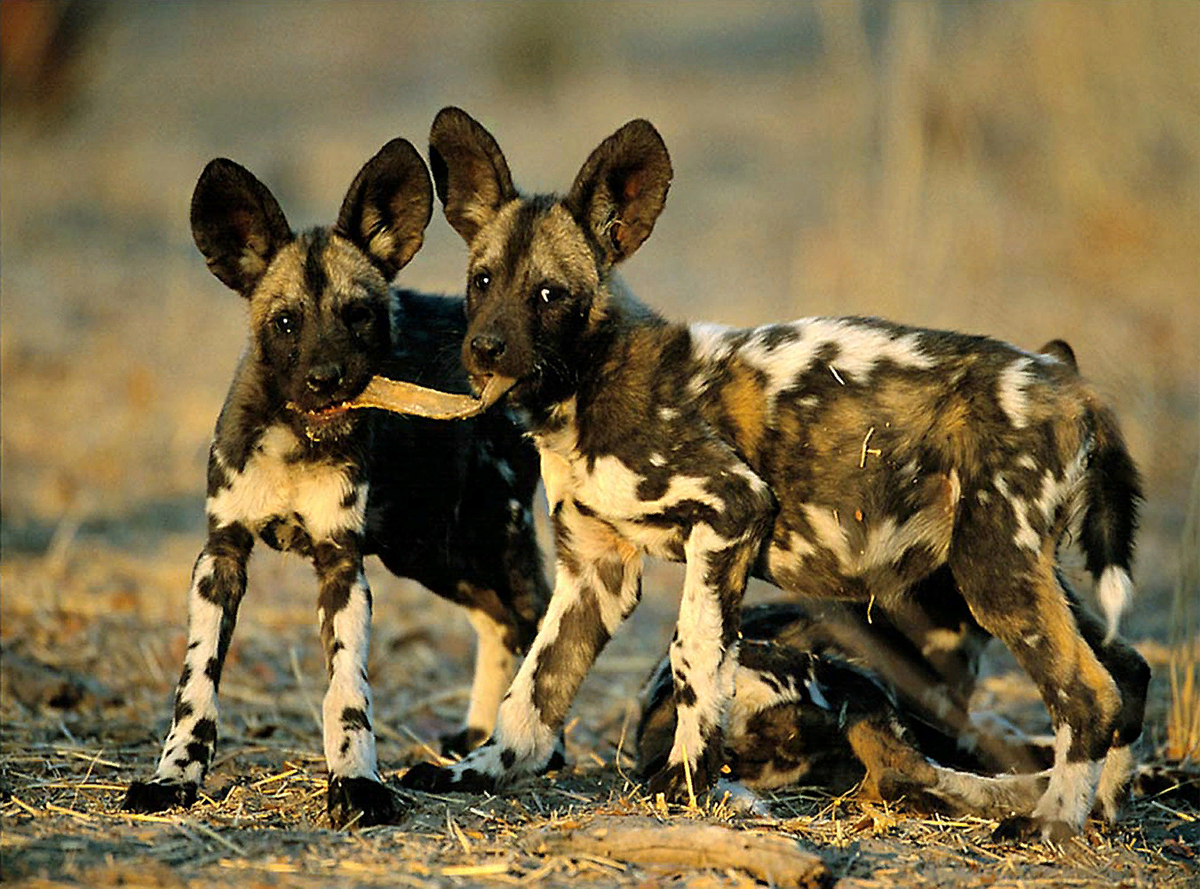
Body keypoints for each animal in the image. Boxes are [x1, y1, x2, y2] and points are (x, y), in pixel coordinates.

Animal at [121, 136, 552, 825]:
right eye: (286, 323)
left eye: (359, 316)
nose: (327, 379)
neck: (294, 444)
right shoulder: (221, 557)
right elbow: (196, 685)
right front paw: (173, 777)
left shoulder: (342, 565)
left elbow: (346, 693)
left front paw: (357, 783)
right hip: (433, 554)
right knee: (499, 624)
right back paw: (480, 734)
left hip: (484, 540)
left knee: (537, 622)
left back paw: (532, 751)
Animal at [403, 107, 1152, 844]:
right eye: (482, 281)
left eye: (549, 294)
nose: (484, 349)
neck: (586, 386)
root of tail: (1070, 386)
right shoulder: (595, 572)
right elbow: (532, 695)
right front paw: (480, 769)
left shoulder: (729, 511)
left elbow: (696, 658)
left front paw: (686, 784)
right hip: (1015, 571)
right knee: (1128, 674)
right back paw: (1100, 810)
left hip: (993, 576)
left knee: (1087, 696)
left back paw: (1052, 820)